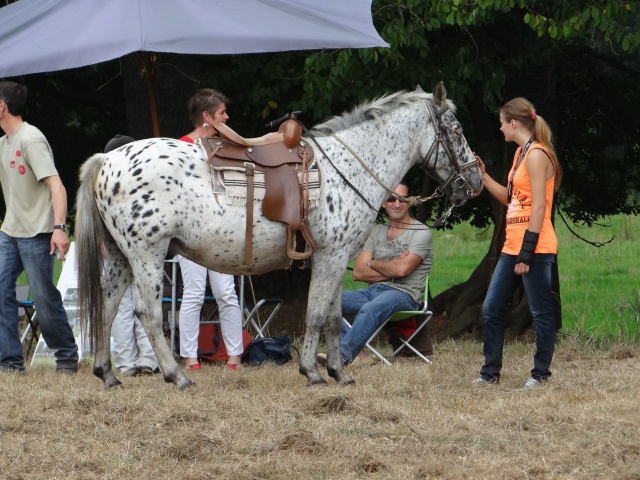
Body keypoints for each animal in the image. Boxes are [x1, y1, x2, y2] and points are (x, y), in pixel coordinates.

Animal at [75, 83, 482, 390]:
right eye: (457, 130)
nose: (475, 181)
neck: (346, 168)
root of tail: (107, 161)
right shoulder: (331, 256)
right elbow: (316, 315)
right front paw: (313, 373)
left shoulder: (336, 259)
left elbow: (334, 316)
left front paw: (340, 373)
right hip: (147, 254)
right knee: (146, 312)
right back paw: (177, 377)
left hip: (121, 257)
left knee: (108, 306)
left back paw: (108, 375)